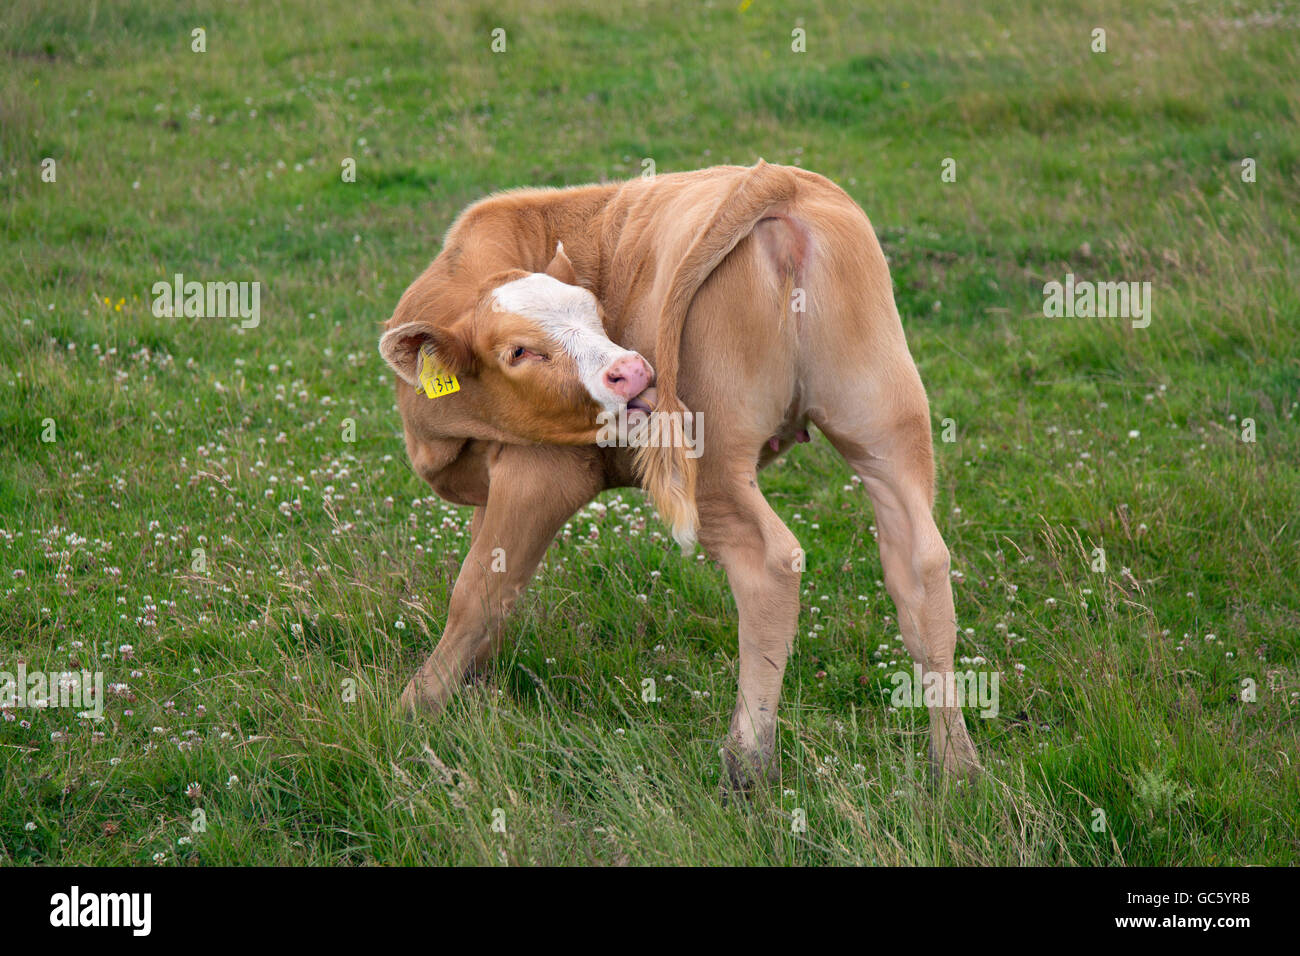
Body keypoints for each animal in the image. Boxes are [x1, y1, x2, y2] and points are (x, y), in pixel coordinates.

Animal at [379, 164, 977, 790]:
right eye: (519, 351)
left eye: (596, 313)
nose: (632, 369)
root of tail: (780, 182)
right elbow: (493, 573)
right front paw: (473, 681)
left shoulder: (540, 470)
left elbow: (478, 591)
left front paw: (411, 711)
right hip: (887, 425)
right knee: (920, 563)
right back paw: (955, 764)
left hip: (713, 467)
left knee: (769, 563)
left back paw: (746, 761)